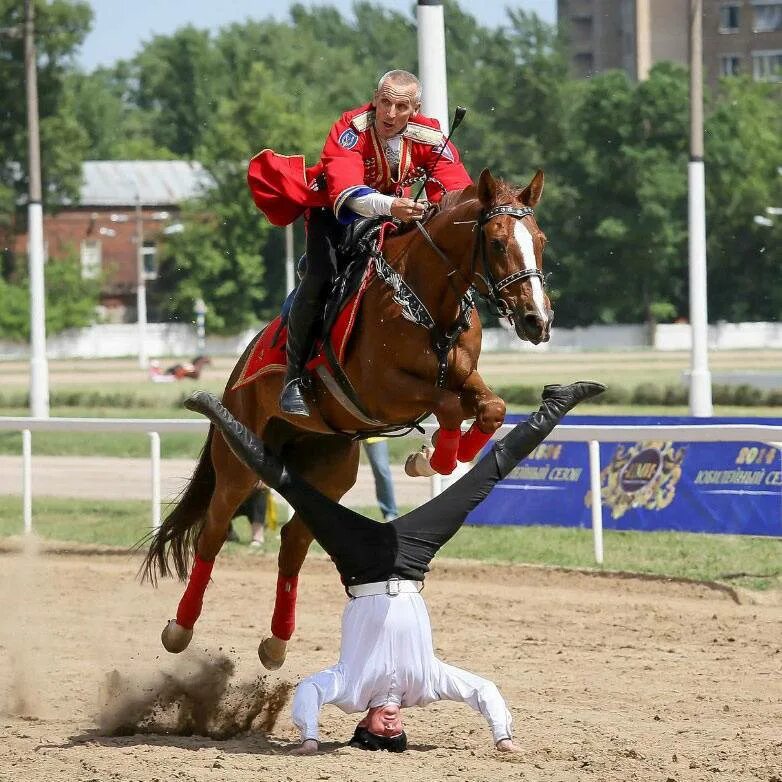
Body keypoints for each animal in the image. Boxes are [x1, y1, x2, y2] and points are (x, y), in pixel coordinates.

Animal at [144, 168, 556, 672]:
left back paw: (276, 643)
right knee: (214, 532)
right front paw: (431, 457)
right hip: (238, 463)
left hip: (329, 466)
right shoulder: (381, 393)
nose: (537, 320)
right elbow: (448, 405)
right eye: (497, 242)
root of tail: (239, 368)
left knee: (294, 542)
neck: (424, 303)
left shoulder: (462, 375)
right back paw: (179, 629)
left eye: (540, 239)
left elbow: (489, 408)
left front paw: (435, 457)